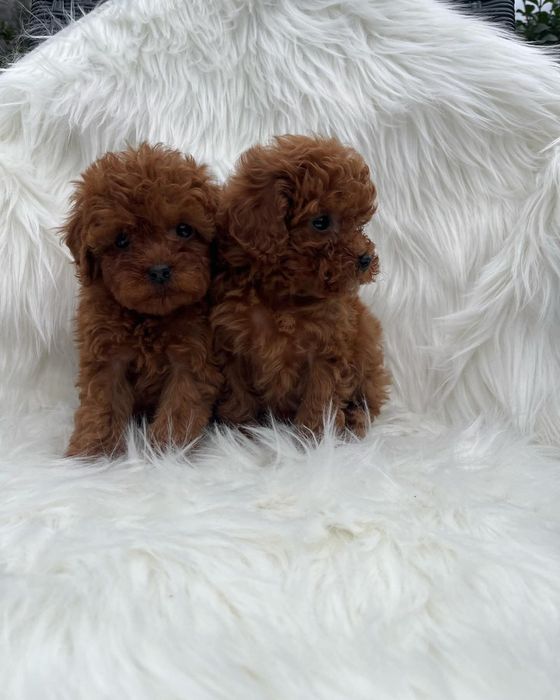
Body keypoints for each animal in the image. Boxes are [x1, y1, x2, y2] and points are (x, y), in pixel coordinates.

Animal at [64, 143, 222, 456]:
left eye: (184, 229)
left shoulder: (191, 355)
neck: (147, 318)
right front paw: (92, 453)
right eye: (121, 240)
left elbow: (180, 405)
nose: (159, 270)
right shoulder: (106, 356)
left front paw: (168, 450)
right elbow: (102, 406)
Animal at [211, 134, 390, 436]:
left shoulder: (326, 347)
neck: (284, 296)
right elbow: (239, 392)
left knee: (369, 397)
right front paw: (240, 430)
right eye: (321, 222)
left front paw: (314, 435)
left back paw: (354, 421)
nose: (365, 259)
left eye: (358, 223)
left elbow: (321, 394)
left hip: (367, 353)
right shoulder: (233, 342)